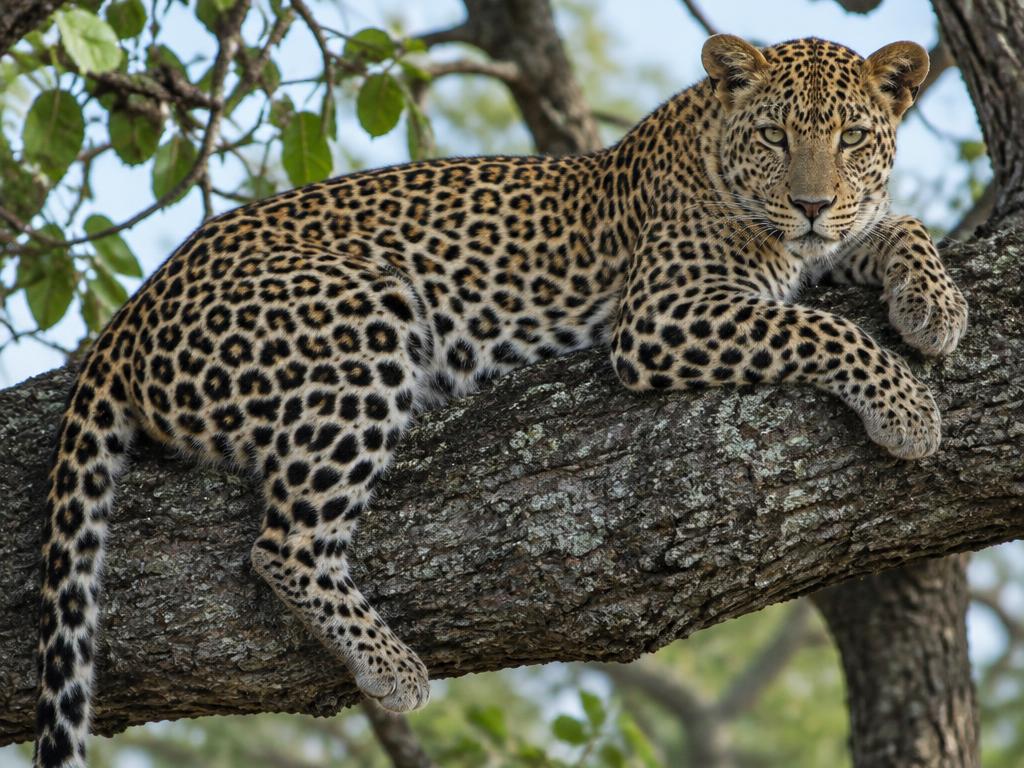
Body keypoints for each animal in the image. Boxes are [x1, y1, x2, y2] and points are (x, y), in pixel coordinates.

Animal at [33, 34, 968, 767]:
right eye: (776, 135)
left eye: (852, 137)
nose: (810, 202)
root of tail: (131, 315)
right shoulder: (663, 316)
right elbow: (819, 327)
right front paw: (908, 409)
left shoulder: (824, 246)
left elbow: (897, 227)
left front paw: (936, 307)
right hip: (365, 316)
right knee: (284, 544)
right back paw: (392, 666)